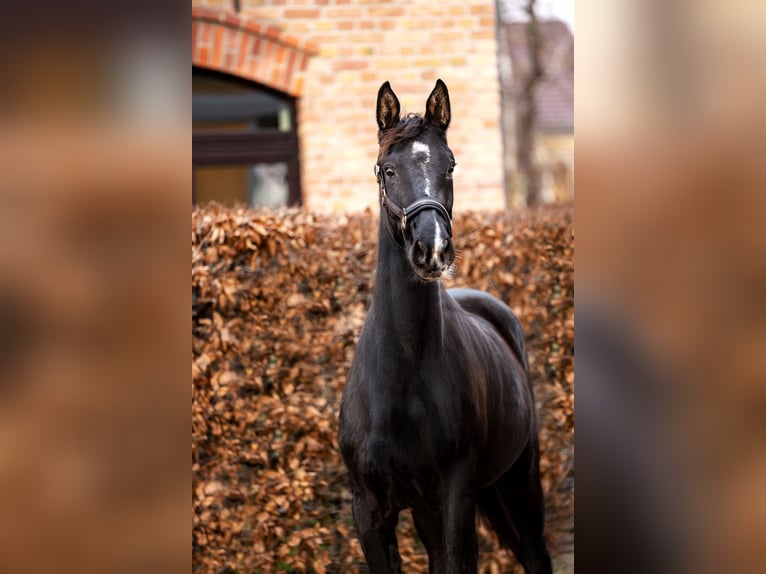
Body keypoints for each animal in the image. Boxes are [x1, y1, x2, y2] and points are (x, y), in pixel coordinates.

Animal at [340, 81, 556, 574]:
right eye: (387, 170)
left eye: (450, 164)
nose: (432, 248)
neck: (400, 375)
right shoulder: (370, 511)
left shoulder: (456, 499)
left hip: (517, 483)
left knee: (535, 554)